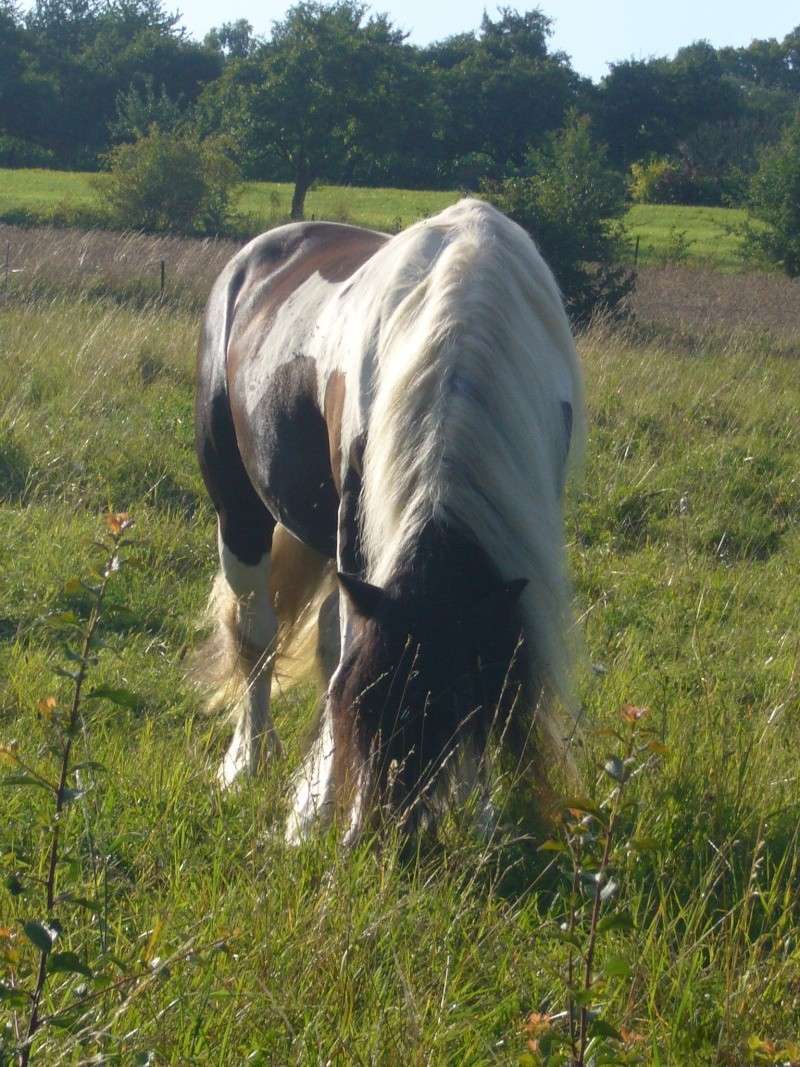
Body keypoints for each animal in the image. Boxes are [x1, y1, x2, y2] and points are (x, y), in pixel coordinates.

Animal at [194, 194, 584, 840]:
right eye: (365, 707)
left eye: (455, 712)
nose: (388, 839)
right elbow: (337, 662)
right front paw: (315, 815)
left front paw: (480, 819)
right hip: (241, 512)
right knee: (257, 633)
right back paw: (246, 763)